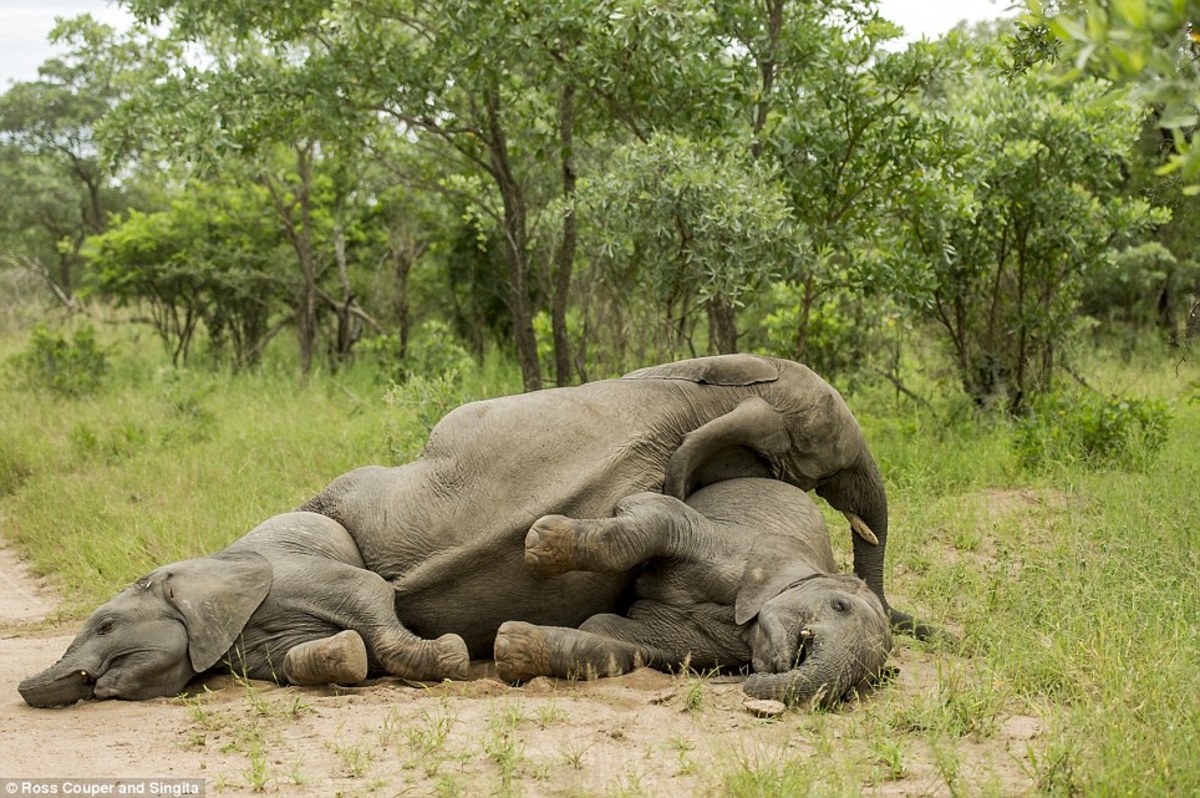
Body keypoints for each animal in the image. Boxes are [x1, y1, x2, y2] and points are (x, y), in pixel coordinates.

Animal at [492, 475, 897, 705]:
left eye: (858, 685)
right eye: (840, 605)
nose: (749, 682)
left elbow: (616, 644)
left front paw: (511, 648)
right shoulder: (734, 545)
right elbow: (659, 515)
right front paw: (540, 541)